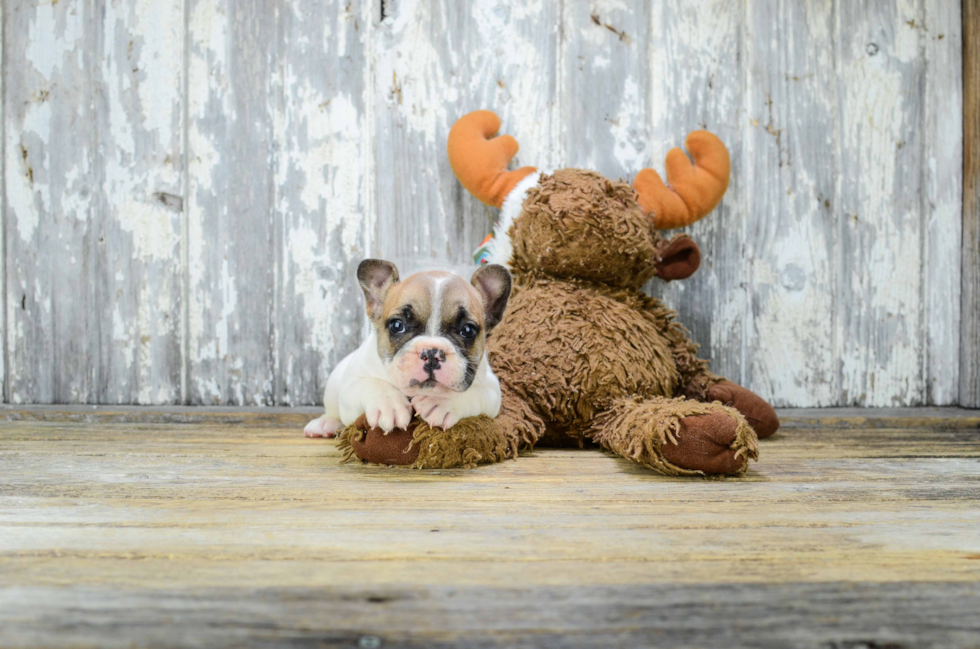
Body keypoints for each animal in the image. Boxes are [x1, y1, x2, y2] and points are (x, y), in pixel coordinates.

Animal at [302, 260, 510, 438]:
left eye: (468, 330)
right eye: (397, 325)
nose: (431, 353)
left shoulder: (492, 390)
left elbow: (471, 394)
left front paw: (441, 402)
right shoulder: (351, 386)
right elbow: (371, 384)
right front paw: (388, 404)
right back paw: (325, 424)